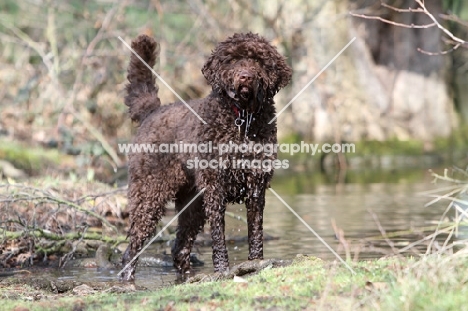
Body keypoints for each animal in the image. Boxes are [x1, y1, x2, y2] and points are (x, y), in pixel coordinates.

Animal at [119, 32, 290, 282]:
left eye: (258, 60)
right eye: (232, 60)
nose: (245, 76)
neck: (242, 119)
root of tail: (153, 111)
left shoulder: (256, 185)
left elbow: (255, 231)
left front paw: (256, 263)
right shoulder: (214, 187)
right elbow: (218, 234)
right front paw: (222, 270)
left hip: (193, 203)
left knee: (180, 247)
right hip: (150, 193)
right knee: (133, 247)